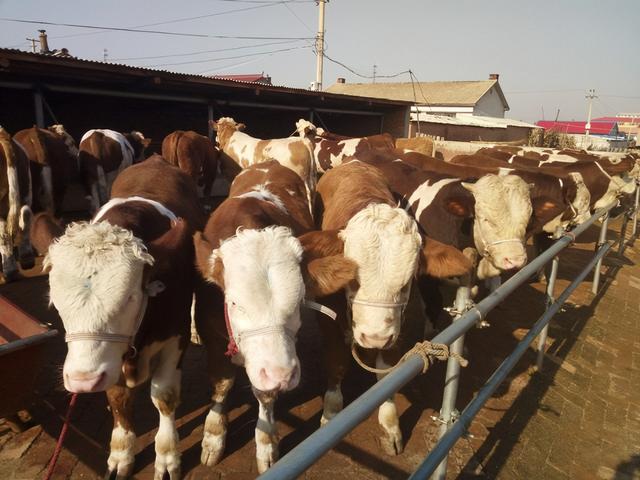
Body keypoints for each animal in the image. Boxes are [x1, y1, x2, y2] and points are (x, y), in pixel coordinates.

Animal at [33, 156, 205, 478]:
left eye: (129, 298)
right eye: (55, 303)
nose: (83, 380)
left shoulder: (174, 338)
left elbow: (164, 395)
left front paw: (167, 457)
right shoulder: (110, 359)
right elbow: (118, 398)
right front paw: (121, 453)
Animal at [192, 160, 358, 472]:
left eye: (299, 301)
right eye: (234, 303)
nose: (282, 375)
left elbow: (264, 394)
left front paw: (266, 444)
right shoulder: (210, 330)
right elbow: (221, 383)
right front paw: (213, 436)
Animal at [308, 160, 472, 454]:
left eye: (407, 282)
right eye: (352, 278)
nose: (375, 337)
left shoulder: (397, 326)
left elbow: (387, 375)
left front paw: (390, 425)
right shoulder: (328, 322)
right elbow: (336, 364)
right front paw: (330, 413)